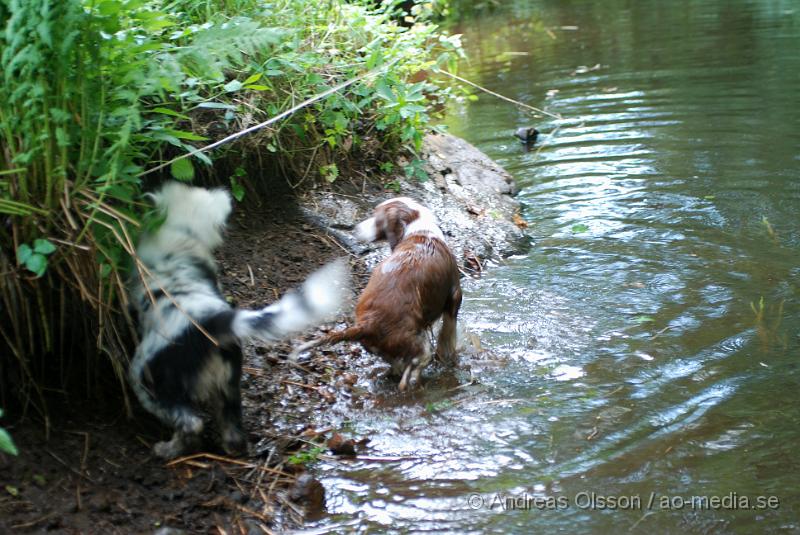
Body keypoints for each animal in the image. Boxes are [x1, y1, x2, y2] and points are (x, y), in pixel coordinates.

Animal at [129, 182, 346, 458]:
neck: (183, 233)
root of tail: (214, 320)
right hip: (228, 383)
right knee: (232, 430)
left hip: (147, 379)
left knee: (192, 422)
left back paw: (168, 450)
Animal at [290, 197, 460, 390]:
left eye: (377, 219)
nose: (355, 229)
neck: (418, 229)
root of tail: (368, 323)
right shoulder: (455, 296)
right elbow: (448, 334)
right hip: (419, 341)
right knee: (416, 365)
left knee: (399, 364)